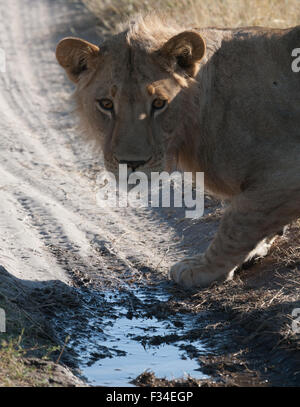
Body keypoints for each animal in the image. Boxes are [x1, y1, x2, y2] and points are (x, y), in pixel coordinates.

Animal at [55, 15, 300, 290]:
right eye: (106, 104)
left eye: (159, 103)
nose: (131, 163)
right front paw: (256, 250)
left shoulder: (285, 173)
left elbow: (237, 222)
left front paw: (203, 268)